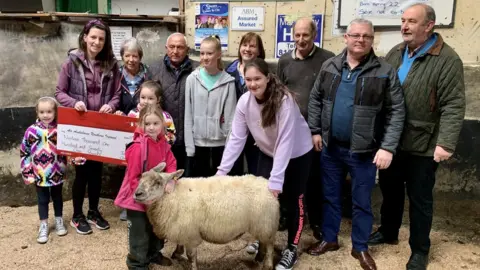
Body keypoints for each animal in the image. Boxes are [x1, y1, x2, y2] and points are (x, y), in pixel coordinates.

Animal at [133, 162, 280, 270]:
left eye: (157, 182)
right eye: (141, 177)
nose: (137, 194)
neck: (172, 195)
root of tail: (267, 185)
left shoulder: (190, 233)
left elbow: (191, 255)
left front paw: (192, 266)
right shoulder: (182, 229)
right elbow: (180, 244)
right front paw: (176, 253)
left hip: (266, 223)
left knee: (270, 245)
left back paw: (267, 265)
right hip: (262, 225)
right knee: (263, 242)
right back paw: (258, 258)